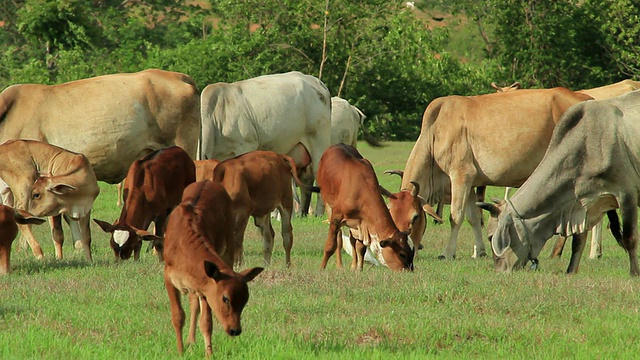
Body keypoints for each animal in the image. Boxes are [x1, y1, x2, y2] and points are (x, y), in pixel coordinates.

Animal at [156, 180, 264, 358]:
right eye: (225, 298)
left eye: (245, 300)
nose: (235, 330)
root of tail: (208, 181)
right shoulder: (168, 277)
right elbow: (178, 315)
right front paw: (180, 350)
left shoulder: (205, 288)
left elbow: (206, 322)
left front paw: (209, 354)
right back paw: (190, 340)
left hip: (228, 244)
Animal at [199, 71, 330, 215]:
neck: (215, 118)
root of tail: (317, 82)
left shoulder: (245, 145)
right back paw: (302, 213)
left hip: (319, 140)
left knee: (318, 172)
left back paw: (319, 212)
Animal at [400, 87, 592, 262]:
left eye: (414, 218)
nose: (408, 252)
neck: (435, 130)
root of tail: (584, 98)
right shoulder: (471, 182)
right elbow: (474, 217)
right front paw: (479, 251)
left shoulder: (461, 175)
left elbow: (456, 216)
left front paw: (447, 253)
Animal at [484, 90, 640, 276]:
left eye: (491, 237)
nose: (499, 271)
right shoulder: (583, 205)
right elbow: (578, 243)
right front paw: (571, 271)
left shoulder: (626, 194)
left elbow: (630, 238)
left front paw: (634, 273)